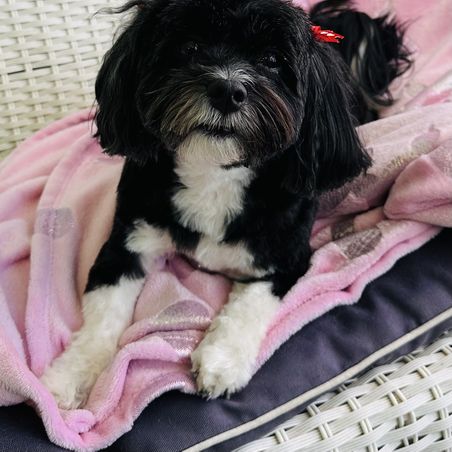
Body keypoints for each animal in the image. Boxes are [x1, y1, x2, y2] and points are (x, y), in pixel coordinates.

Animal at [41, 0, 411, 408]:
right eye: (189, 47)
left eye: (271, 60)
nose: (227, 89)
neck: (214, 173)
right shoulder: (127, 242)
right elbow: (103, 313)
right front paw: (71, 375)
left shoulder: (286, 258)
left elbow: (250, 306)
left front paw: (222, 361)